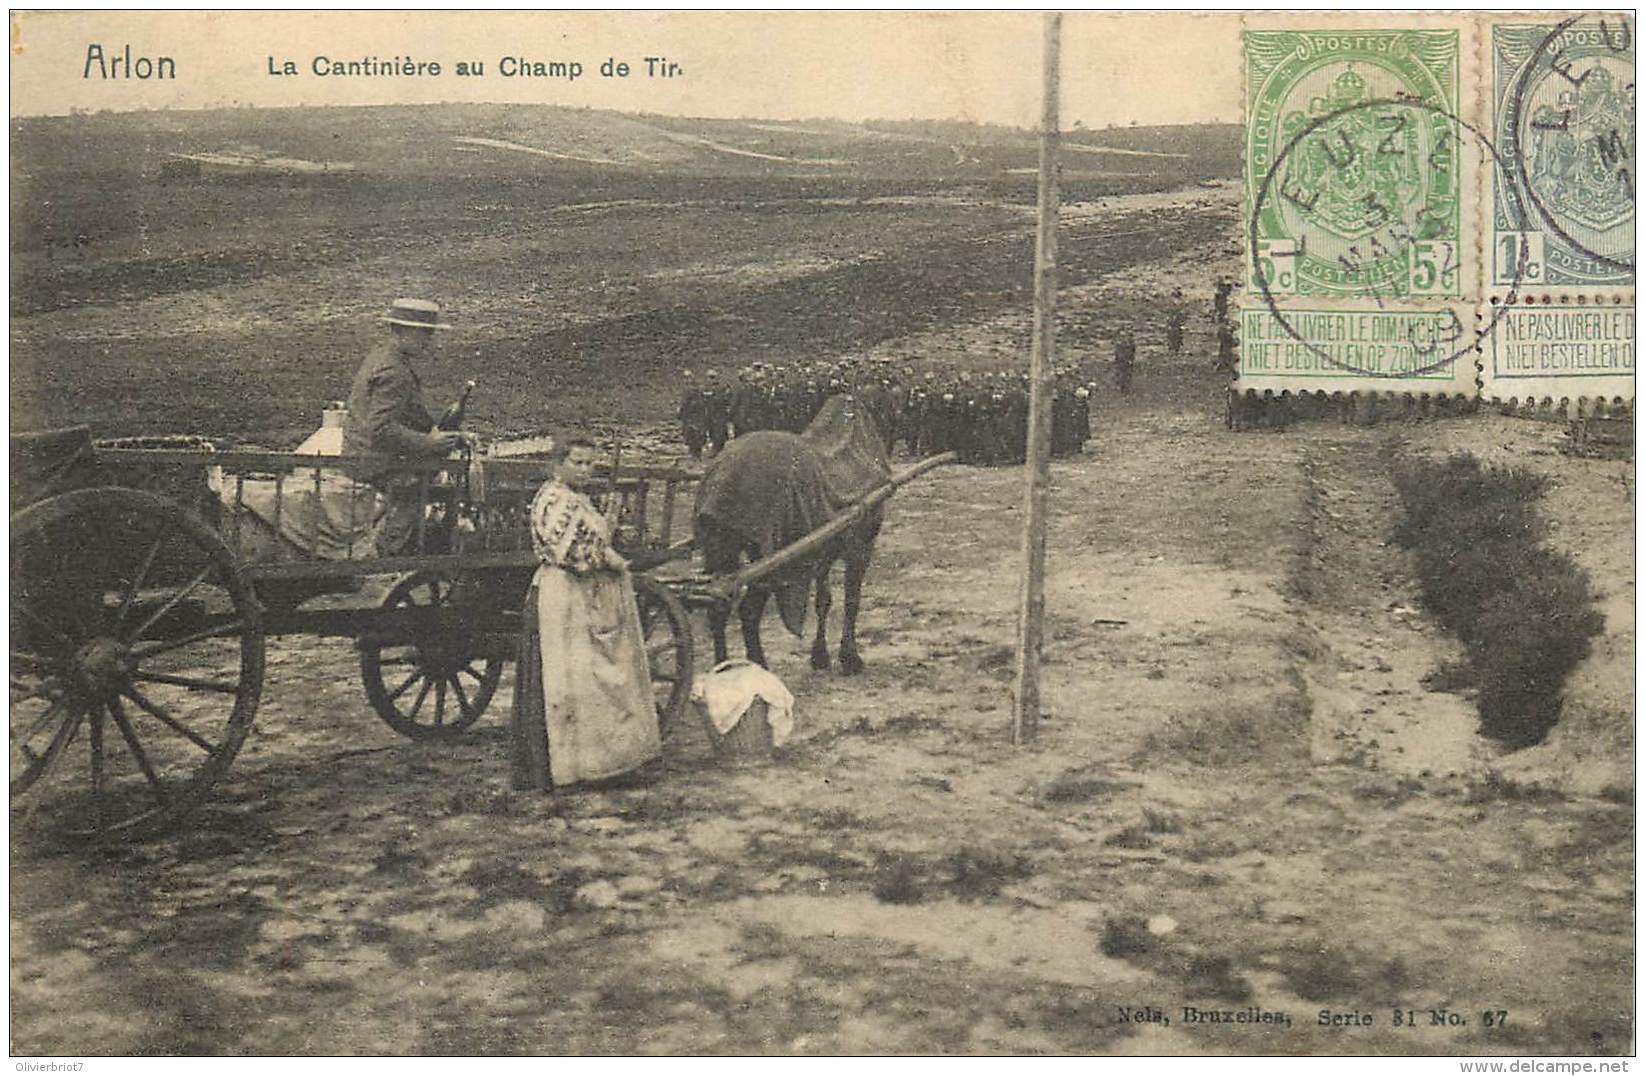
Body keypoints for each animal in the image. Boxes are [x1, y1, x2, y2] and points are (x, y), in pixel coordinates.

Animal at [697, 389, 901, 674]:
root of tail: (718, 473)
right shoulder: (861, 544)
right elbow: (852, 599)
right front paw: (849, 658)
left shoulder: (823, 550)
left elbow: (824, 600)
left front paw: (820, 656)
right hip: (768, 556)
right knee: (747, 608)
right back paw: (757, 666)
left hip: (720, 548)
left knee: (720, 607)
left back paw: (726, 669)